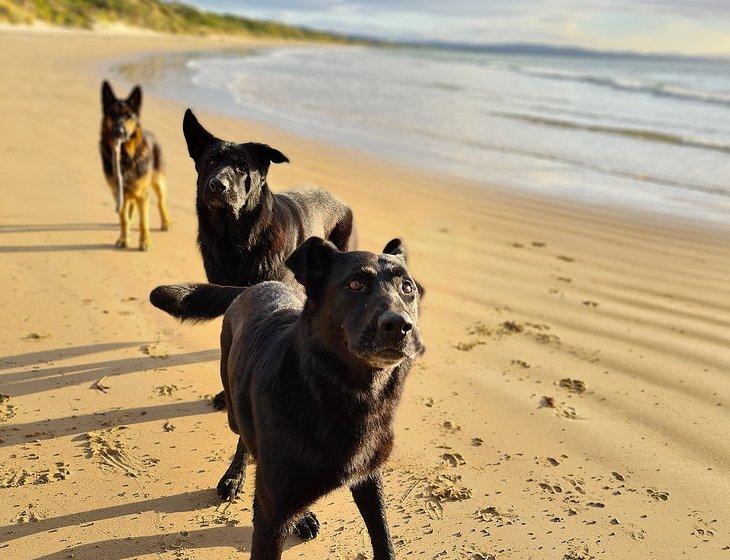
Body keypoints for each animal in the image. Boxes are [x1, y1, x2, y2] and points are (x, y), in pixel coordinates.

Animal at [153, 237, 424, 560]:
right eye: (355, 284)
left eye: (407, 287)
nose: (400, 325)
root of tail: (253, 287)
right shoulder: (270, 515)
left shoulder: (368, 479)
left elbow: (383, 539)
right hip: (233, 406)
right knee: (244, 437)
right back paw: (235, 477)